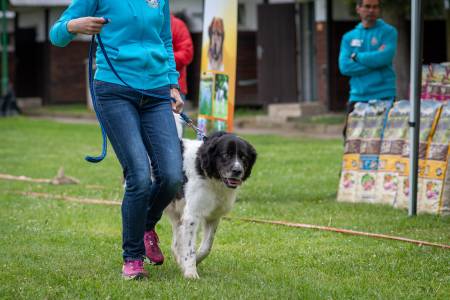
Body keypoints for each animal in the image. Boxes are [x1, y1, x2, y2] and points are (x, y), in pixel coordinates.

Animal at [165, 131, 256, 278]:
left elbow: (206, 246)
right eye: (226, 155)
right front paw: (190, 272)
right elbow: (190, 247)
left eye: (244, 157)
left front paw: (191, 263)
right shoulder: (192, 214)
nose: (237, 171)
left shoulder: (213, 216)